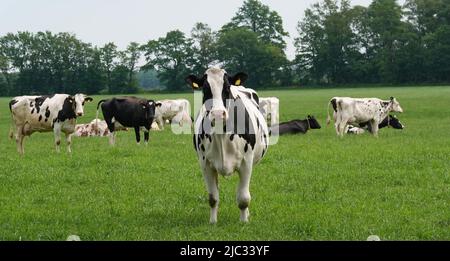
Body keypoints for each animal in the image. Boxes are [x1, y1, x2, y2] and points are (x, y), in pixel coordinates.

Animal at [185, 67, 268, 223]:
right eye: (205, 89)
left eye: (227, 88)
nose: (218, 114)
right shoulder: (205, 164)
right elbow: (213, 197)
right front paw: (213, 222)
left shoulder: (246, 163)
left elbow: (244, 198)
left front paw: (244, 221)